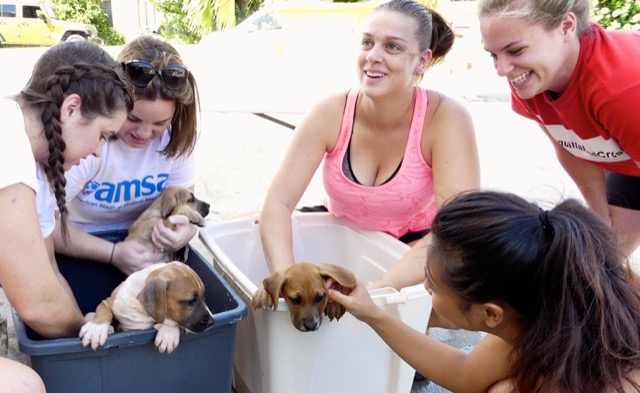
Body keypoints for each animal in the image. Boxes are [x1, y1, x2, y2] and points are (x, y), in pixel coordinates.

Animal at [80, 260, 214, 352]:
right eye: (191, 301)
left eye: (204, 297)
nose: (212, 322)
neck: (141, 311)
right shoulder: (109, 301)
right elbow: (104, 310)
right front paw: (95, 330)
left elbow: (170, 321)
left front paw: (168, 334)